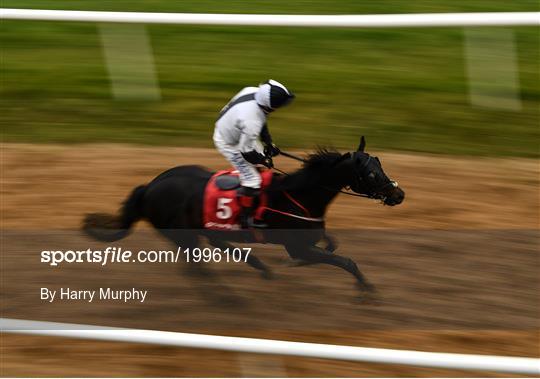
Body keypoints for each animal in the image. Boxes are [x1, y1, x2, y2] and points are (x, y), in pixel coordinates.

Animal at [84, 137, 402, 294]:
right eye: (371, 174)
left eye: (381, 165)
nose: (399, 195)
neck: (300, 195)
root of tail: (149, 187)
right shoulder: (297, 244)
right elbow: (344, 260)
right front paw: (366, 288)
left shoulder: (308, 237)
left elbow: (332, 245)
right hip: (182, 234)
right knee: (199, 265)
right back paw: (230, 298)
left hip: (199, 230)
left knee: (219, 248)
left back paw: (260, 269)